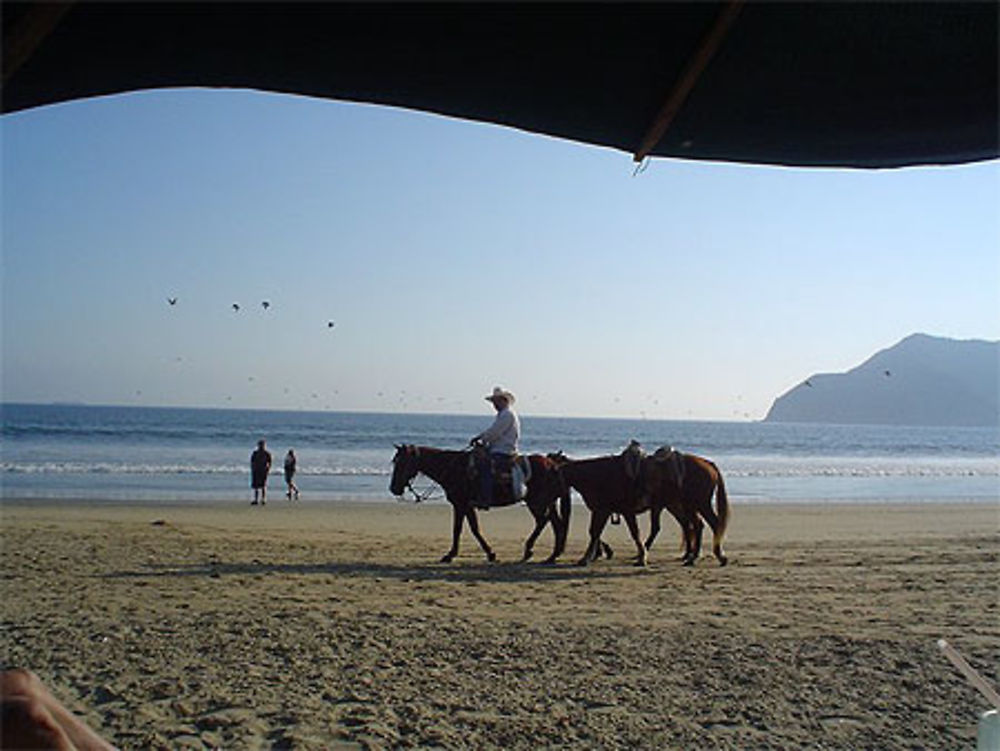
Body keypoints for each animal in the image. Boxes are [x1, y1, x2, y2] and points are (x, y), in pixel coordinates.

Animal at [388, 446, 568, 564]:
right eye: (395, 462)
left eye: (403, 462)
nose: (393, 488)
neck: (453, 468)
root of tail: (552, 464)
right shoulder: (467, 506)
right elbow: (474, 528)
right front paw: (490, 553)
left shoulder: (460, 504)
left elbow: (459, 529)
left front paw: (450, 555)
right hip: (548, 502)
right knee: (556, 523)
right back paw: (553, 555)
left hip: (536, 502)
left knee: (543, 521)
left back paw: (529, 550)